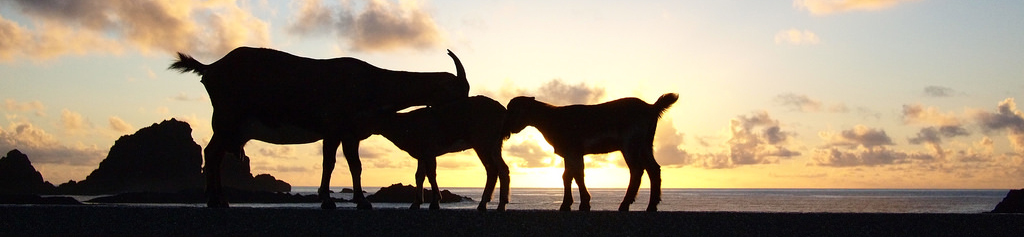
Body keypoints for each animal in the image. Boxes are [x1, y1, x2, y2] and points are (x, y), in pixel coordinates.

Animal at [169, 46, 468, 209]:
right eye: (457, 93)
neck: (372, 82)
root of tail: (211, 68)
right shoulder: (334, 128)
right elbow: (330, 163)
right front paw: (329, 199)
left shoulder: (349, 134)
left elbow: (354, 165)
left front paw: (360, 201)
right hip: (226, 119)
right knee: (212, 153)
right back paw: (214, 199)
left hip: (229, 125)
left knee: (216, 155)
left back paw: (219, 198)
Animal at [505, 92, 679, 211]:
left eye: (513, 110)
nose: (508, 129)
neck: (551, 119)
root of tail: (652, 108)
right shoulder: (571, 153)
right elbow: (570, 176)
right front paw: (572, 204)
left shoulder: (573, 151)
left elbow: (575, 175)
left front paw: (581, 204)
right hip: (645, 144)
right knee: (653, 169)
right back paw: (651, 206)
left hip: (630, 144)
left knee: (637, 170)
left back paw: (624, 205)